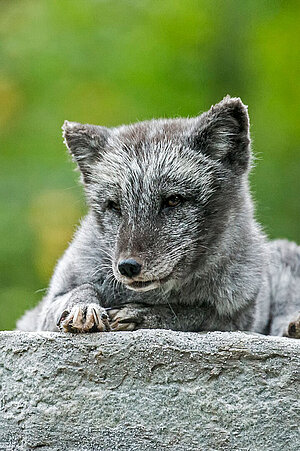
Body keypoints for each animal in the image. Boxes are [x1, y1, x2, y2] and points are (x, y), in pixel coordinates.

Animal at [16, 97, 300, 338]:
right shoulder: (41, 312)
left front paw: (145, 315)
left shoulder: (237, 318)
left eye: (173, 200)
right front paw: (83, 307)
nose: (127, 267)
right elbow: (78, 290)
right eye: (114, 206)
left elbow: (193, 313)